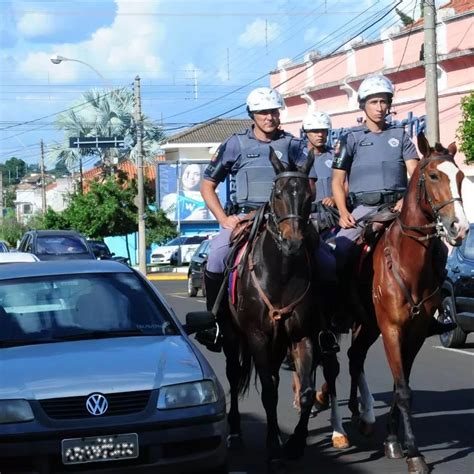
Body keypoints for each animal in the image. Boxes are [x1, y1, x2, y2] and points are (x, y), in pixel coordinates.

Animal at [221, 149, 336, 474]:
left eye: (309, 195)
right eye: (278, 193)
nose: (293, 241)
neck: (281, 272)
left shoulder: (301, 336)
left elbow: (306, 391)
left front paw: (295, 444)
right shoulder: (257, 337)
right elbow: (269, 393)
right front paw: (273, 450)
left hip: (277, 344)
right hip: (234, 337)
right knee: (234, 375)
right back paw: (235, 433)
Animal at [344, 131, 470, 472]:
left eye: (460, 176)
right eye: (434, 176)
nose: (460, 228)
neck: (407, 261)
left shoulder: (415, 332)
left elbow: (403, 387)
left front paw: (393, 440)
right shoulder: (391, 329)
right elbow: (402, 390)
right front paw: (413, 452)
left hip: (368, 325)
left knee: (355, 356)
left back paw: (362, 415)